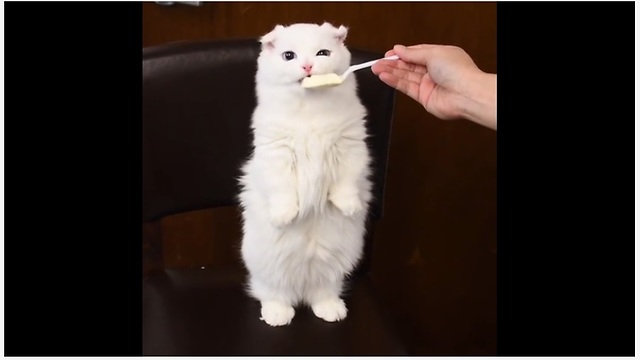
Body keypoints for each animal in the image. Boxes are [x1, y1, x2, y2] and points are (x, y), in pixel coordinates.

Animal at [238, 21, 372, 326]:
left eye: (322, 53)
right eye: (289, 56)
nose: (308, 66)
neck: (309, 110)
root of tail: (301, 285)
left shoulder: (351, 147)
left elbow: (346, 183)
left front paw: (348, 206)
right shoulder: (276, 154)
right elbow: (284, 192)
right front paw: (285, 216)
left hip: (335, 263)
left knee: (322, 292)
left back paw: (331, 311)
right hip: (269, 266)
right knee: (273, 293)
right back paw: (278, 316)